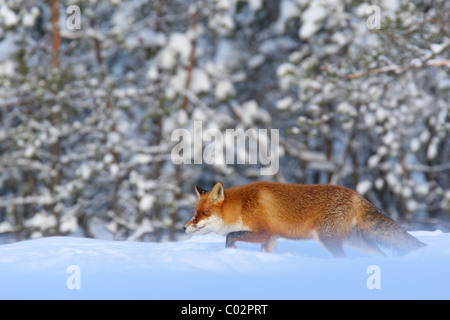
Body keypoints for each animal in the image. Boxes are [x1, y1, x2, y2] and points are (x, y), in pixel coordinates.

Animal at [184, 181, 426, 256]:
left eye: (200, 214)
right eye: (194, 213)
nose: (185, 228)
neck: (242, 206)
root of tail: (357, 196)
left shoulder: (265, 231)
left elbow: (230, 236)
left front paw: (231, 253)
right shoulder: (269, 239)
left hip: (328, 238)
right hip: (354, 240)